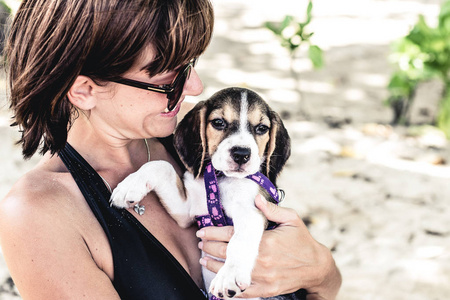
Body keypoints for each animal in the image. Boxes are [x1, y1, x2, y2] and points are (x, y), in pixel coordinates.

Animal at [110, 87, 296, 300]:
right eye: (218, 122)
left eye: (262, 128)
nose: (241, 154)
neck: (221, 179)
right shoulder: (186, 211)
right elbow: (162, 166)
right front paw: (130, 184)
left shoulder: (253, 210)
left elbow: (240, 241)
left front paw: (229, 275)